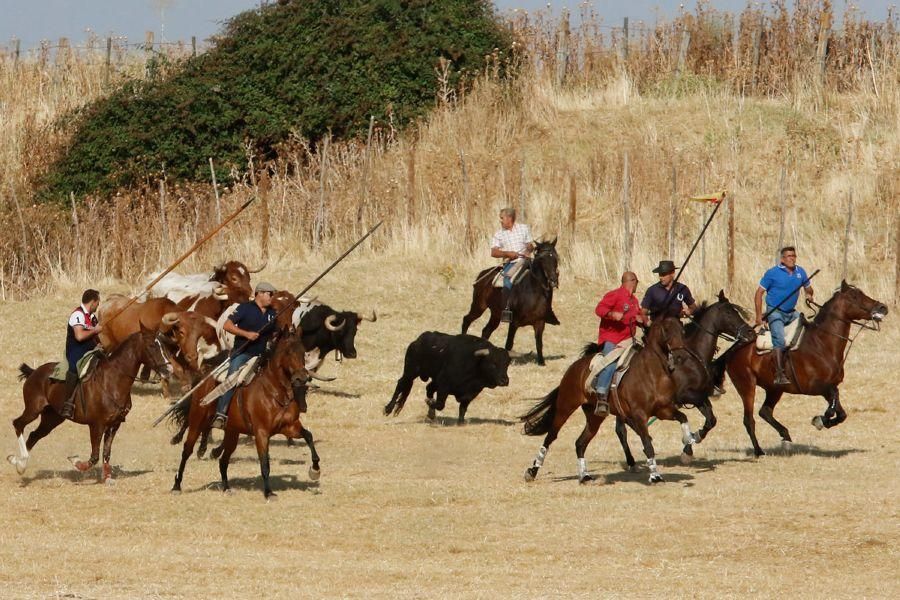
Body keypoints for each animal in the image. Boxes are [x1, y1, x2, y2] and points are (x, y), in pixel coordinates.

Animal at [8, 326, 173, 486]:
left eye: (163, 345)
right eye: (151, 346)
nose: (169, 370)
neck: (112, 380)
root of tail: (34, 372)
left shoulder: (114, 424)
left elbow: (106, 453)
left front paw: (108, 478)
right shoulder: (96, 425)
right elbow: (94, 457)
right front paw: (75, 461)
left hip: (52, 418)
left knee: (34, 435)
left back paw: (20, 465)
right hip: (33, 409)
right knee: (18, 424)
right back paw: (18, 461)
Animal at [170, 328, 324, 496]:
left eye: (303, 352)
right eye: (288, 352)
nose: (301, 378)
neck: (274, 391)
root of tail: (204, 378)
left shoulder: (289, 427)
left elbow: (308, 436)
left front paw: (315, 470)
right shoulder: (261, 433)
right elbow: (264, 462)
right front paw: (268, 492)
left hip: (232, 432)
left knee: (223, 460)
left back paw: (226, 487)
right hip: (197, 421)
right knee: (187, 450)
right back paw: (176, 485)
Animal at [516, 316, 692, 486]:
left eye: (683, 330)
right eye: (667, 330)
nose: (680, 356)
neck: (652, 372)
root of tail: (574, 367)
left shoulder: (663, 410)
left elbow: (683, 418)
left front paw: (688, 448)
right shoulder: (640, 415)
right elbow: (648, 445)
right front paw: (655, 476)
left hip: (595, 416)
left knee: (580, 443)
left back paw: (584, 476)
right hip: (565, 407)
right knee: (550, 437)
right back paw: (532, 471)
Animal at [616, 292, 756, 466]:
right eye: (729, 313)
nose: (751, 332)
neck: (692, 358)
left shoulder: (697, 397)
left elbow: (711, 420)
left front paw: (692, 441)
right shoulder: (686, 396)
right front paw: (688, 446)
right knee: (622, 429)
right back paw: (632, 459)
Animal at [724, 280, 884, 454]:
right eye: (854, 296)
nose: (882, 308)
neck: (822, 344)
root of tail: (734, 349)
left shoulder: (829, 387)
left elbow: (841, 412)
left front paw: (824, 421)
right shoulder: (815, 386)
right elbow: (834, 402)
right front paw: (820, 420)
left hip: (774, 389)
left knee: (764, 411)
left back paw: (785, 436)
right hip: (746, 386)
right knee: (749, 419)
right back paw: (759, 451)